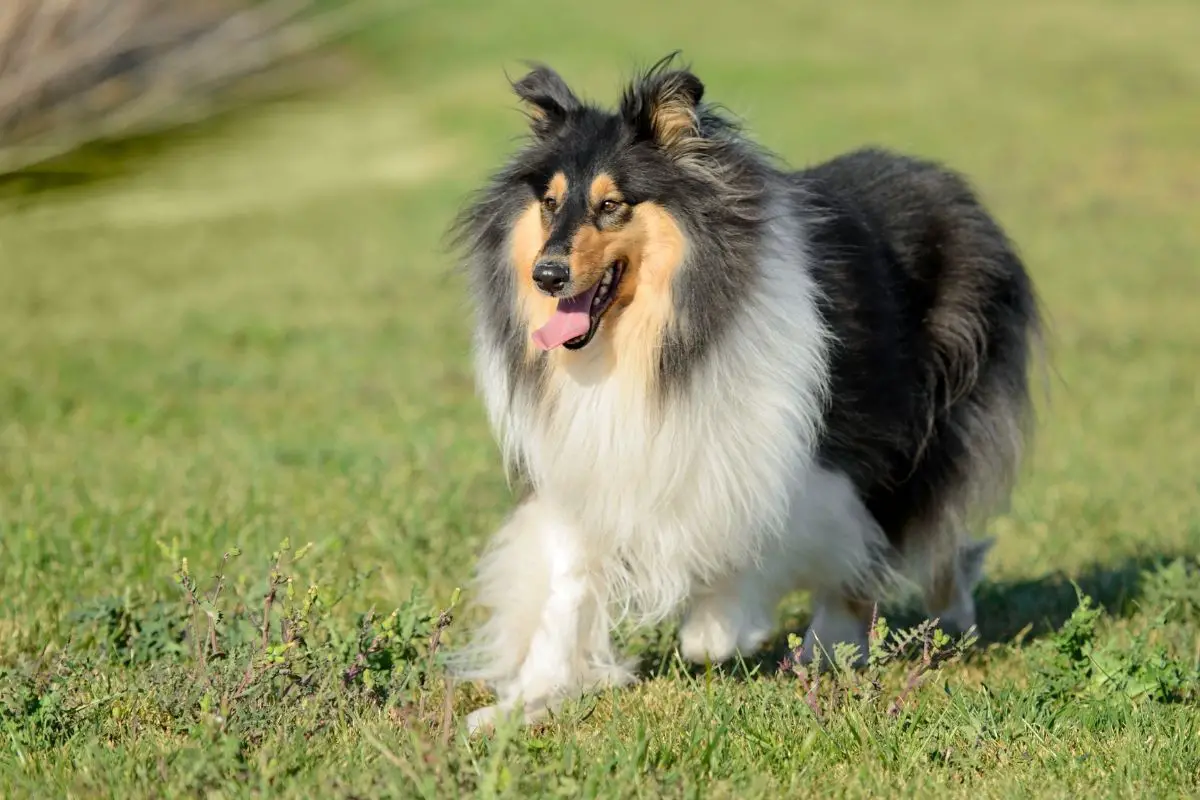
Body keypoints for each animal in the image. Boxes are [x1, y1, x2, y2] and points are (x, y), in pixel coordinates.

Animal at [451, 54, 1041, 734]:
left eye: (611, 204)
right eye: (548, 203)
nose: (546, 275)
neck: (648, 348)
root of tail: (944, 181)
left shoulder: (787, 443)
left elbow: (757, 540)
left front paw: (719, 626)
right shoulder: (590, 462)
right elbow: (565, 589)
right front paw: (523, 702)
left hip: (919, 422)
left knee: (905, 533)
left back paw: (867, 638)